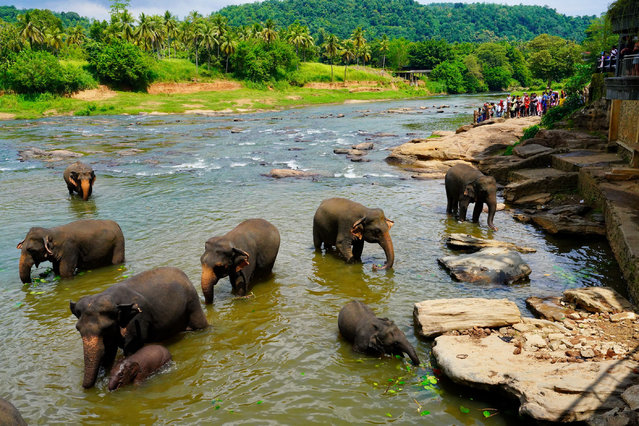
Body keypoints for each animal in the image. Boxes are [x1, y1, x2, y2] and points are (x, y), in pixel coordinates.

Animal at [69, 268, 208, 388]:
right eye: (77, 328)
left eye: (105, 328)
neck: (112, 298)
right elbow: (109, 352)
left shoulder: (138, 321)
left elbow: (130, 350)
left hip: (192, 302)